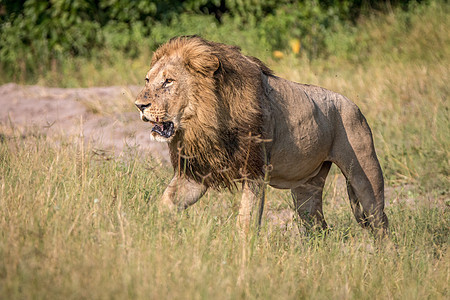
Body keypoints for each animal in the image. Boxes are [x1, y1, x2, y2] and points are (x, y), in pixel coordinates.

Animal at [135, 35, 388, 237]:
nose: (139, 105)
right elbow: (164, 204)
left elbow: (245, 222)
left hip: (364, 172)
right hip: (307, 186)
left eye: (169, 81)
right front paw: (150, 231)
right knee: (319, 227)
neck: (204, 122)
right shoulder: (194, 175)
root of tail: (353, 104)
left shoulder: (254, 171)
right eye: (147, 80)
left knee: (380, 220)